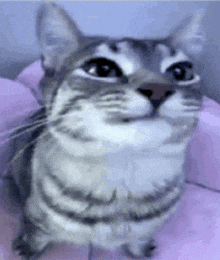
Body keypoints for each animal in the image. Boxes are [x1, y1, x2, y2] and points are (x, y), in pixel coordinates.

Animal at [8, 2, 205, 260]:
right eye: (102, 68)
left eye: (182, 72)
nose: (158, 88)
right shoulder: (36, 220)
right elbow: (34, 236)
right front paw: (26, 249)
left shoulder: (147, 229)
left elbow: (139, 240)